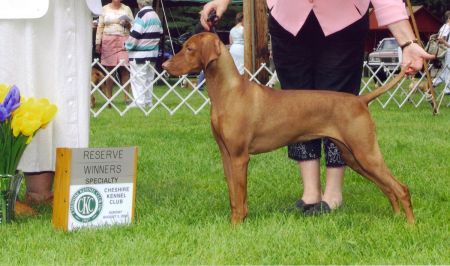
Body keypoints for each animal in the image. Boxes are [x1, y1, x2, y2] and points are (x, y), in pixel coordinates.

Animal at [162, 32, 414, 224]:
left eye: (189, 48)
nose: (164, 66)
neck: (229, 92)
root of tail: (361, 100)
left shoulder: (240, 157)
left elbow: (240, 194)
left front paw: (236, 225)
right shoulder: (226, 155)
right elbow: (234, 194)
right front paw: (237, 220)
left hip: (365, 153)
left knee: (401, 188)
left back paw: (410, 225)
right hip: (353, 156)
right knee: (388, 189)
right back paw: (396, 217)